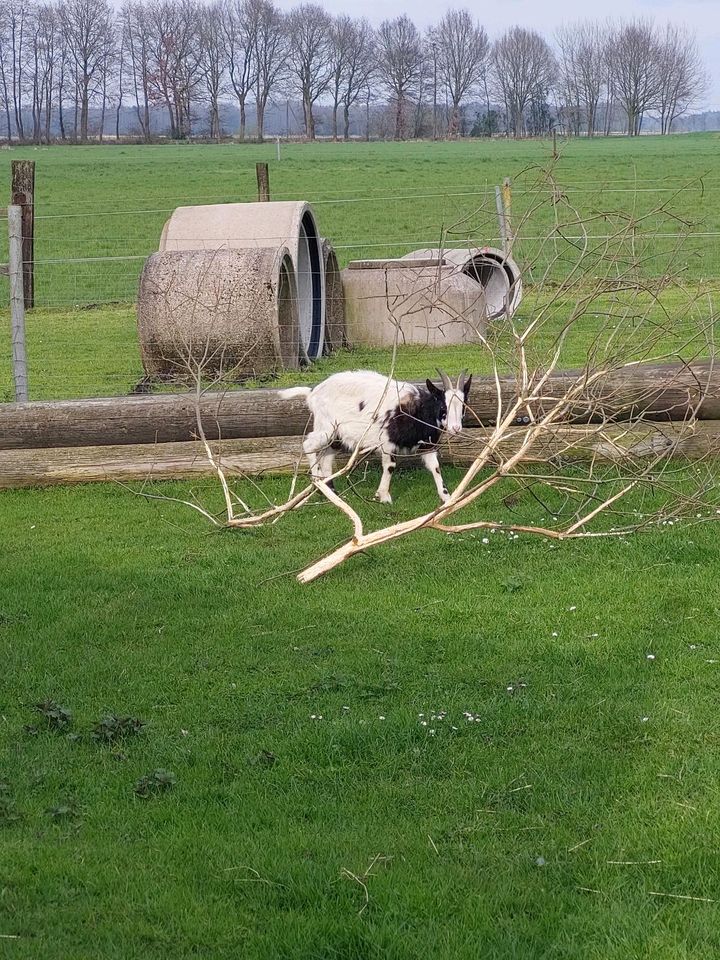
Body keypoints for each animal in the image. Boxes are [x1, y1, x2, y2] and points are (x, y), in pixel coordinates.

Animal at [278, 366, 472, 502]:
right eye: (443, 406)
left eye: (463, 405)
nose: (456, 428)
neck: (417, 410)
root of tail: (312, 393)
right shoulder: (387, 441)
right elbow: (390, 466)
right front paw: (384, 496)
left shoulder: (427, 445)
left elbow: (435, 467)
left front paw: (446, 497)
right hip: (327, 427)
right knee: (308, 444)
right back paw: (319, 482)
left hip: (336, 436)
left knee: (327, 456)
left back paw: (331, 491)